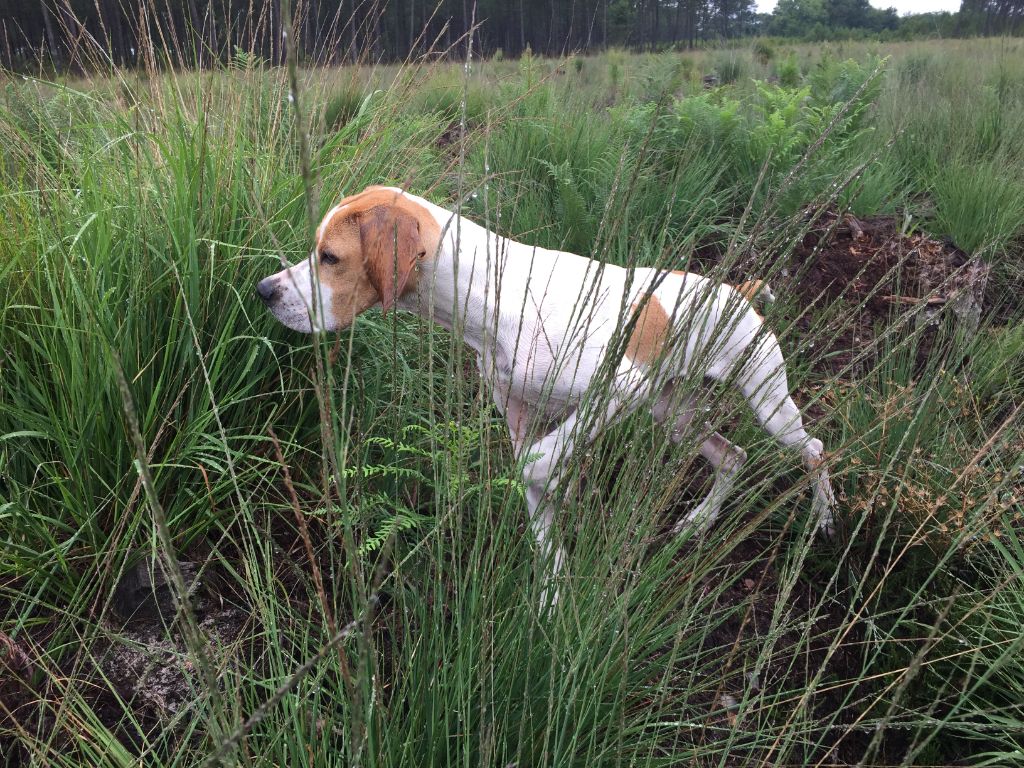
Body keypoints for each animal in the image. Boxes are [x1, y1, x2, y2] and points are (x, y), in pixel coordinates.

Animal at [253, 188, 831, 606]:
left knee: (815, 450)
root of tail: (738, 292)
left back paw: (823, 520)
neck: (493, 296)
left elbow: (535, 465)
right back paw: (701, 521)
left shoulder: (616, 389)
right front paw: (553, 603)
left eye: (330, 257)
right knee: (733, 457)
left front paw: (563, 488)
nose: (265, 291)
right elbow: (539, 513)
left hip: (767, 403)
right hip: (674, 413)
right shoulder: (519, 417)